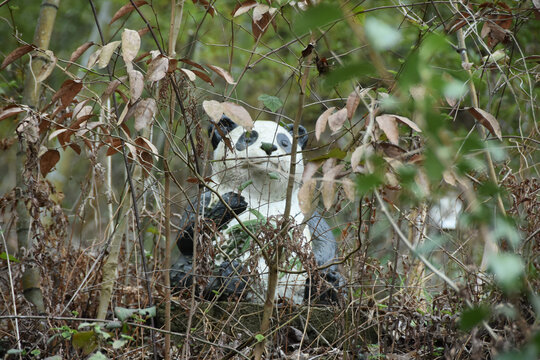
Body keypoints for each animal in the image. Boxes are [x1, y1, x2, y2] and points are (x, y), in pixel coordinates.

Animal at [172, 115, 342, 304]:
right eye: (247, 138)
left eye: (284, 142)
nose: (269, 147)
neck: (261, 192)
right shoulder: (209, 195)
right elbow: (187, 235)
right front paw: (232, 202)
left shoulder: (301, 211)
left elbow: (325, 241)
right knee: (184, 272)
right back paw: (232, 280)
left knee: (326, 278)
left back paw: (327, 288)